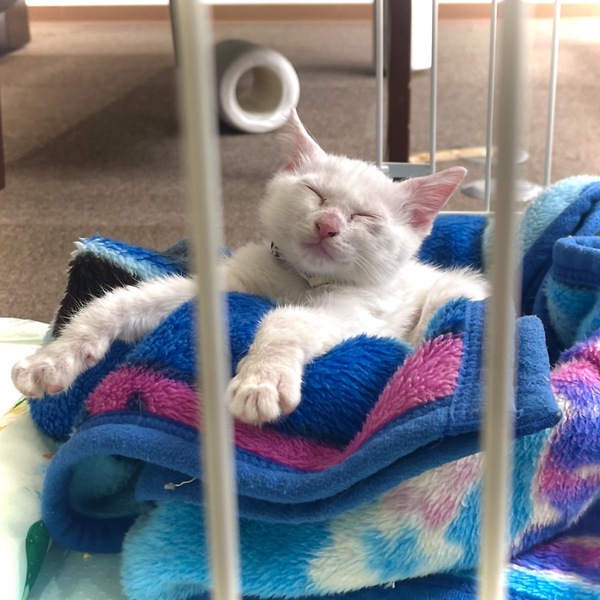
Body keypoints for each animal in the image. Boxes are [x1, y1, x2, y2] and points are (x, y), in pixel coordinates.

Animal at [11, 110, 489, 425]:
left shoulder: (358, 314)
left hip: (447, 298)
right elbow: (119, 301)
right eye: (314, 193)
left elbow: (286, 320)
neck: (300, 280)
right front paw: (53, 359)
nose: (327, 225)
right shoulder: (225, 284)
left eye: (364, 217)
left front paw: (261, 383)